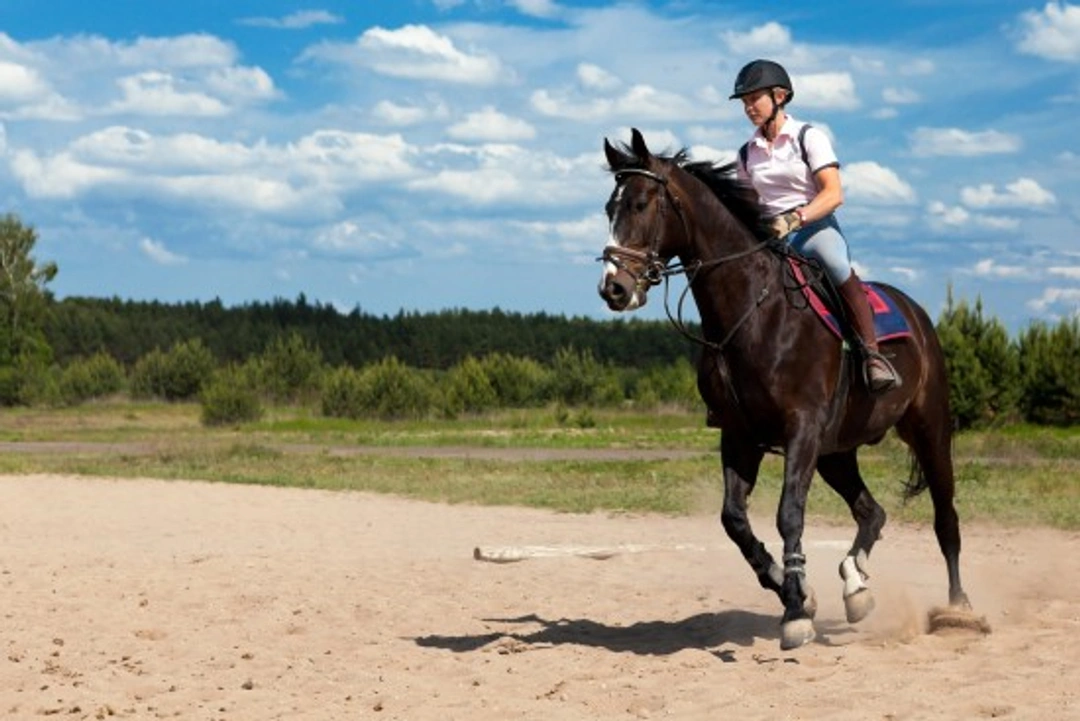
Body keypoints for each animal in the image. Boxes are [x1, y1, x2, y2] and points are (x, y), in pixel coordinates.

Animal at [598, 128, 978, 650]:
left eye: (640, 204)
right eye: (608, 209)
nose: (613, 289)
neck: (754, 313)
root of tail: (916, 313)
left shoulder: (801, 428)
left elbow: (788, 514)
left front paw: (797, 609)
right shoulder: (740, 436)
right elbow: (734, 519)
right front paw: (792, 588)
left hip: (928, 429)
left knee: (946, 519)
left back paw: (958, 609)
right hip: (836, 450)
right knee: (872, 512)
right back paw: (855, 587)